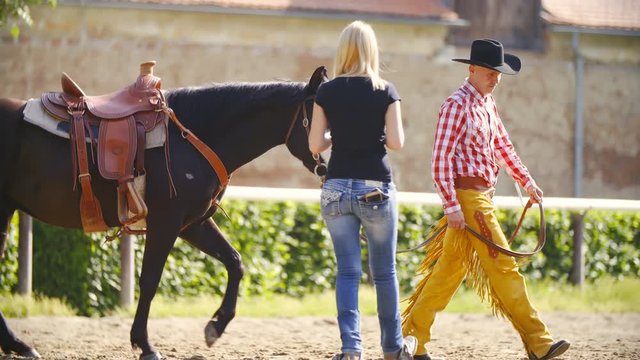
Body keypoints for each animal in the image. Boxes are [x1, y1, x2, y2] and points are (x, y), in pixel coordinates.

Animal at [0, 66, 330, 358]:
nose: (328, 167)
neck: (192, 139)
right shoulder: (166, 222)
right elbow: (150, 280)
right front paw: (144, 344)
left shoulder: (192, 224)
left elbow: (235, 262)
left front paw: (216, 326)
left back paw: (18, 345)